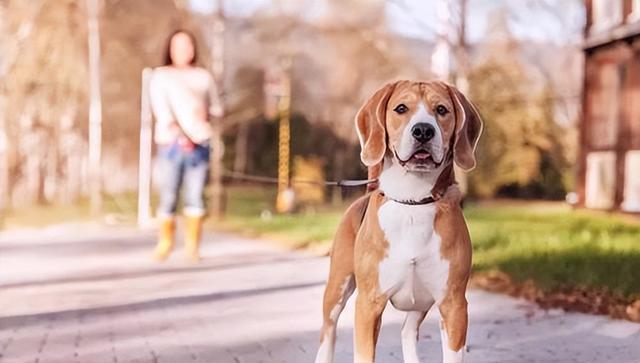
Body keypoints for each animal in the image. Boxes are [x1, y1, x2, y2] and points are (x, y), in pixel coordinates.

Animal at [312, 80, 482, 363]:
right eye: (401, 108)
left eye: (442, 110)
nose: (423, 130)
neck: (413, 202)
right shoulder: (368, 304)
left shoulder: (454, 305)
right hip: (337, 288)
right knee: (328, 333)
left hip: (421, 302)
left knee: (407, 330)